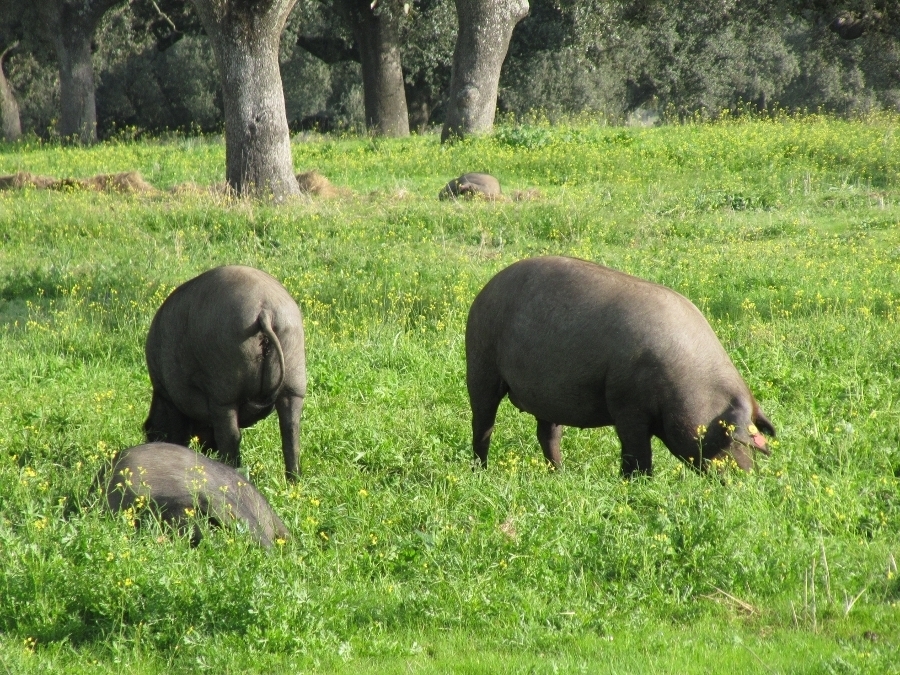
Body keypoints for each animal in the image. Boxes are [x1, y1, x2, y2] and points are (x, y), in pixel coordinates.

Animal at [144, 264, 306, 480]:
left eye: (150, 431)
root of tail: (265, 309)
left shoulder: (171, 399)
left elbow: (179, 432)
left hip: (224, 391)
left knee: (231, 436)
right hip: (294, 381)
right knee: (290, 430)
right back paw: (293, 480)